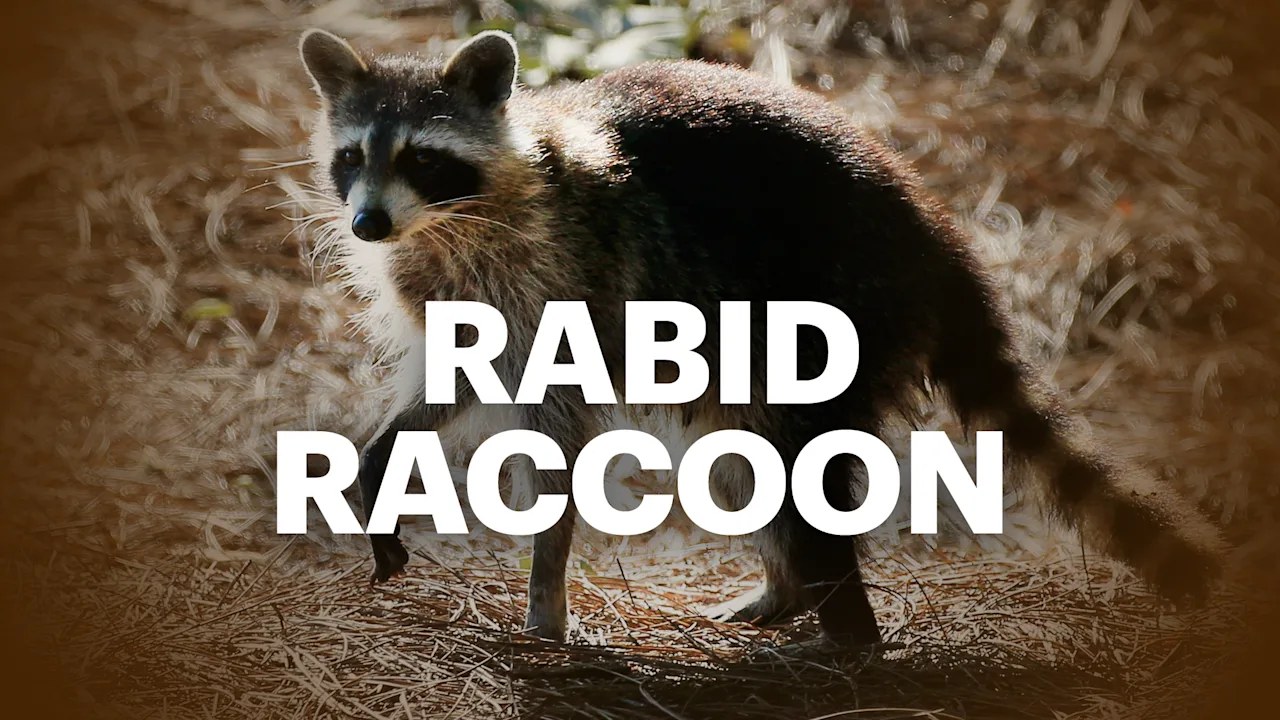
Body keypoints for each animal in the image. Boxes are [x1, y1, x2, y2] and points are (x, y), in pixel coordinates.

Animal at [297, 29, 1225, 643]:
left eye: (423, 158)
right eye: (352, 157)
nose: (368, 223)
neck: (444, 225)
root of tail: (934, 237)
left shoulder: (564, 274)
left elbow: (557, 444)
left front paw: (546, 593)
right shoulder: (458, 294)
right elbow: (458, 378)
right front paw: (384, 450)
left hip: (832, 312)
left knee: (795, 467)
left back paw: (848, 627)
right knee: (738, 458)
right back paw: (788, 592)